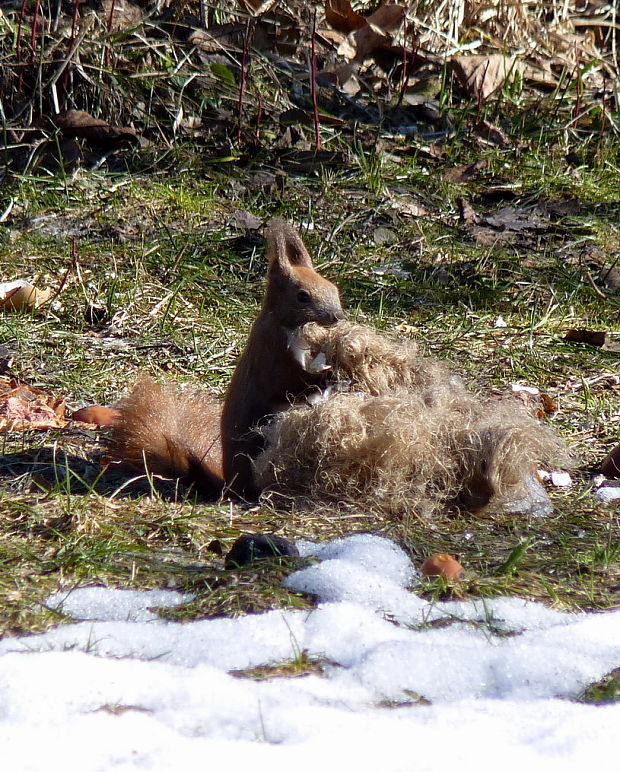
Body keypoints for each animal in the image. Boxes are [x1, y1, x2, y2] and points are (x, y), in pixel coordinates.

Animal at [105, 219, 344, 500]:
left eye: (333, 288)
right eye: (303, 296)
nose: (337, 317)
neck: (283, 324)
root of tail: (229, 487)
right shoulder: (273, 355)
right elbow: (291, 384)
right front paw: (330, 375)